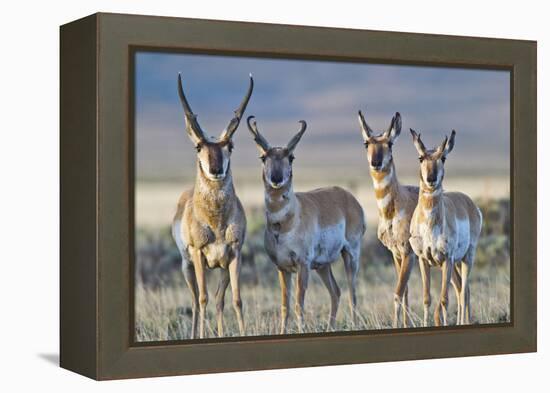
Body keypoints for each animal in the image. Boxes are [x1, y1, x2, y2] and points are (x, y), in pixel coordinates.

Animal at [172, 72, 254, 336]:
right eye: (198, 146)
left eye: (230, 146)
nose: (216, 169)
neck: (216, 222)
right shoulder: (198, 254)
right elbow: (203, 299)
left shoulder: (234, 255)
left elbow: (236, 300)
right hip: (187, 267)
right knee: (195, 301)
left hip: (221, 268)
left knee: (219, 300)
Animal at [248, 115, 364, 332]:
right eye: (263, 157)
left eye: (291, 157)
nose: (277, 179)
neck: (284, 224)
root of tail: (349, 197)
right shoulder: (282, 268)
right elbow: (285, 305)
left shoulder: (302, 264)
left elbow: (298, 304)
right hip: (322, 266)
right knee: (336, 292)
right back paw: (330, 328)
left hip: (350, 255)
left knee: (352, 293)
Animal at [360, 108, 420, 326]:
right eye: (367, 143)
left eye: (390, 143)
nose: (375, 162)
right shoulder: (396, 254)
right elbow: (405, 292)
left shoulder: (408, 253)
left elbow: (397, 294)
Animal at [410, 129, 484, 324]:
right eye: (420, 157)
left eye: (443, 157)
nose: (431, 179)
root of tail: (469, 203)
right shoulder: (423, 260)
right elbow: (427, 298)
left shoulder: (446, 259)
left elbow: (444, 300)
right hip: (456, 264)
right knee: (461, 290)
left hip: (466, 258)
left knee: (464, 292)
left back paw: (464, 322)